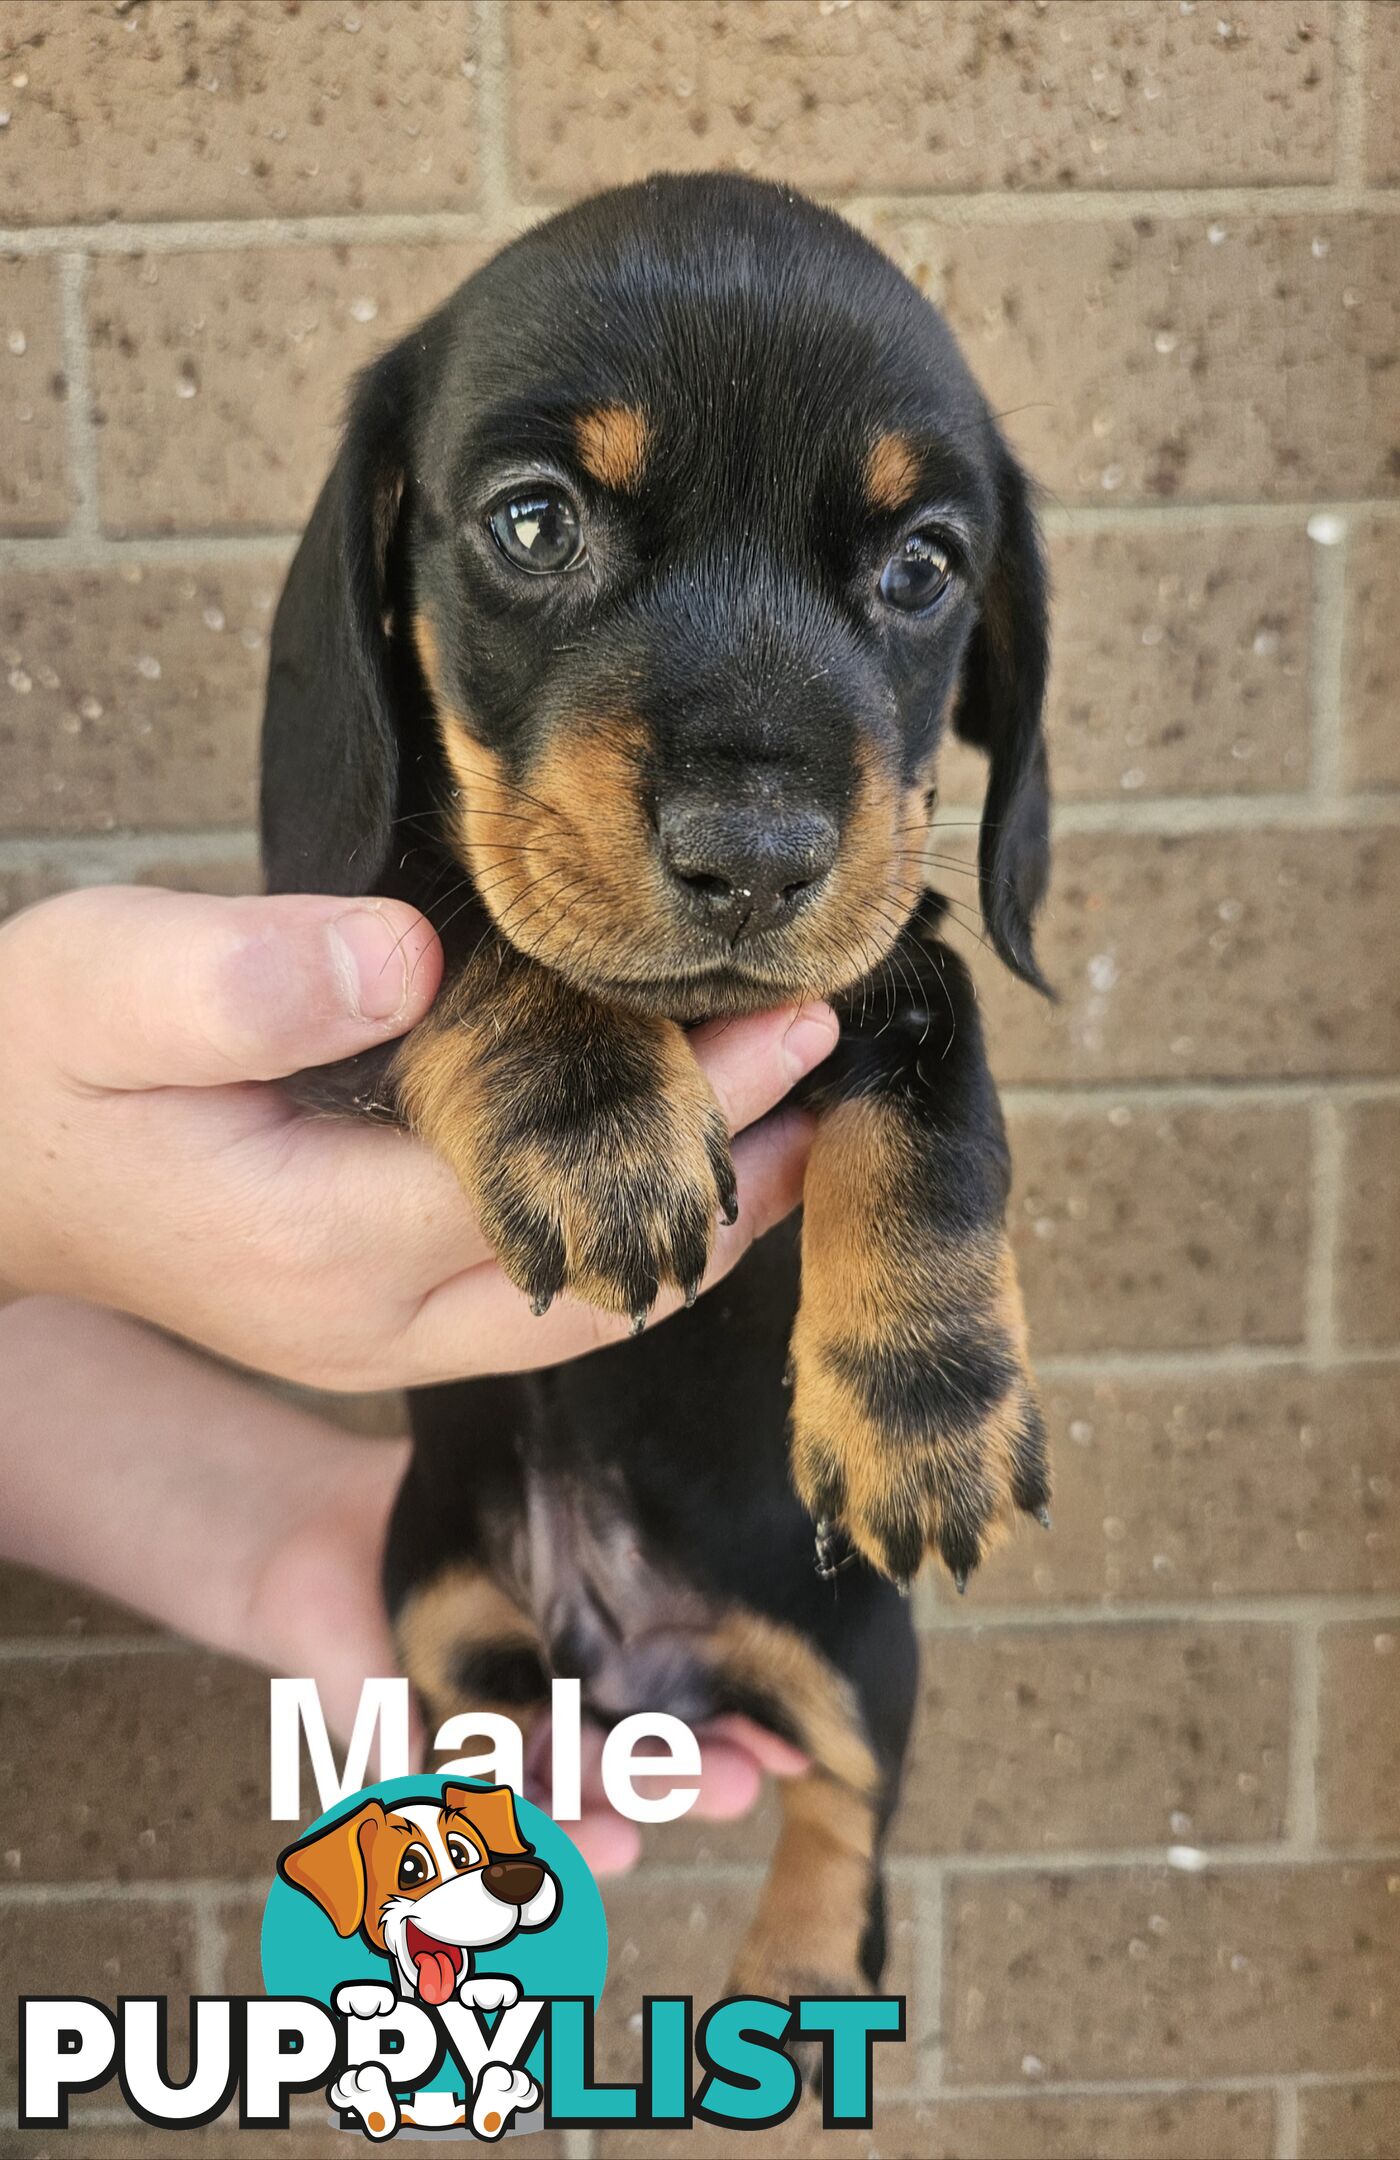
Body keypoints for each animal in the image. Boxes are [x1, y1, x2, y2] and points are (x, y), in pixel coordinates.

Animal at [262, 177, 1050, 2013]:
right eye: (534, 524)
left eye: (924, 568)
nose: (755, 860)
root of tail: (641, 1669)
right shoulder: (366, 949)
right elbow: (482, 923)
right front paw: (592, 1120)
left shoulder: (905, 956)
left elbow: (940, 1120)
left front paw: (924, 1404)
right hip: (438, 1618)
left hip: (859, 1648)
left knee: (847, 1805)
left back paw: (804, 1973)